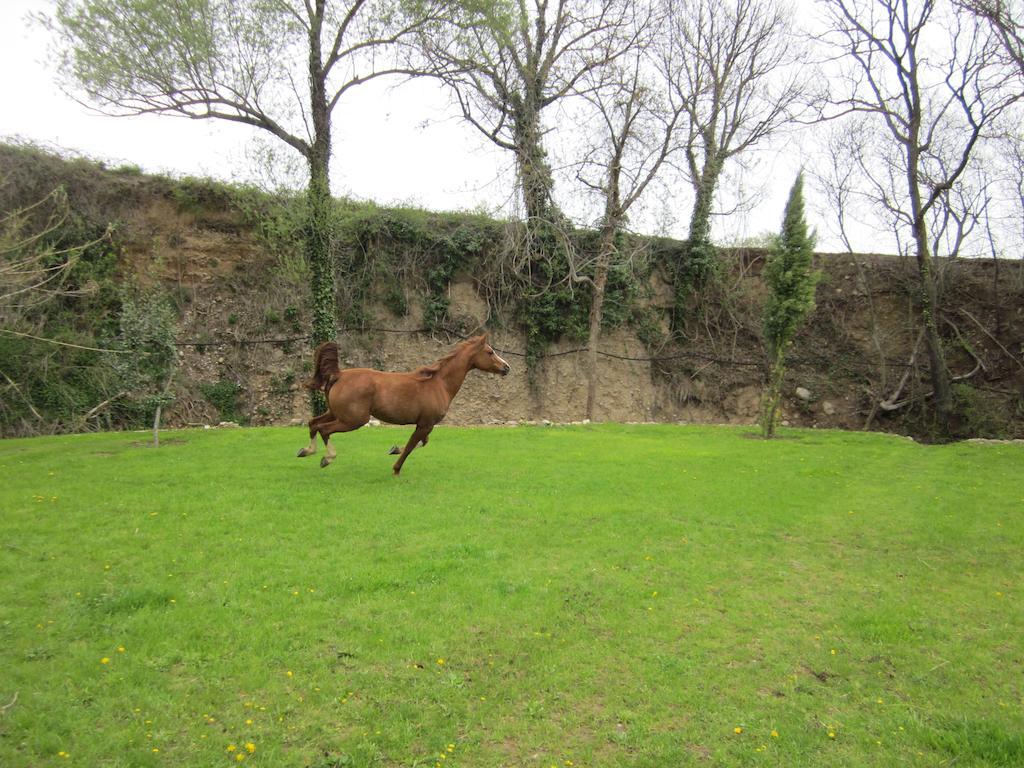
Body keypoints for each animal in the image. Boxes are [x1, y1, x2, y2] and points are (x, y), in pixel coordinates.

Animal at [299, 335, 509, 475]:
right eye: (490, 352)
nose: (507, 367)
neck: (439, 383)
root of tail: (339, 375)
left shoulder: (425, 424)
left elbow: (422, 443)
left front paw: (394, 449)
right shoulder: (426, 424)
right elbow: (411, 445)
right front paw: (396, 468)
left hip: (336, 413)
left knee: (313, 423)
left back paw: (306, 451)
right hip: (353, 420)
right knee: (324, 429)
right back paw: (327, 458)